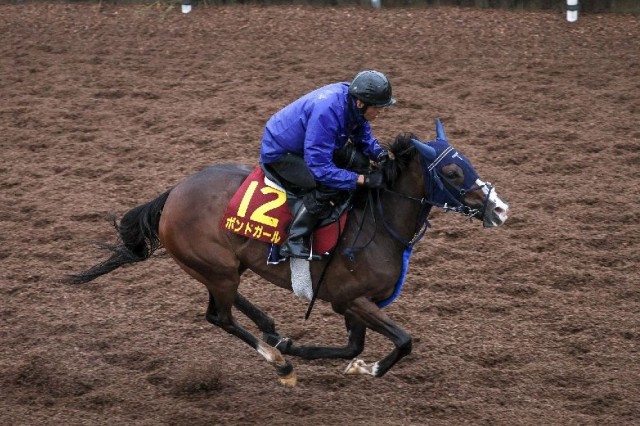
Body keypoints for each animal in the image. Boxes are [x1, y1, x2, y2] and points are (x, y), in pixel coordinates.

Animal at [69, 119, 510, 386]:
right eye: (451, 172)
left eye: (469, 163)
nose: (500, 208)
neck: (378, 223)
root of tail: (173, 193)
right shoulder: (351, 298)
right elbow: (402, 340)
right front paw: (368, 368)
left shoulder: (353, 304)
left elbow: (354, 346)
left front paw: (328, 354)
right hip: (217, 268)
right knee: (219, 317)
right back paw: (279, 361)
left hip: (225, 267)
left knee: (228, 306)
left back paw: (273, 333)